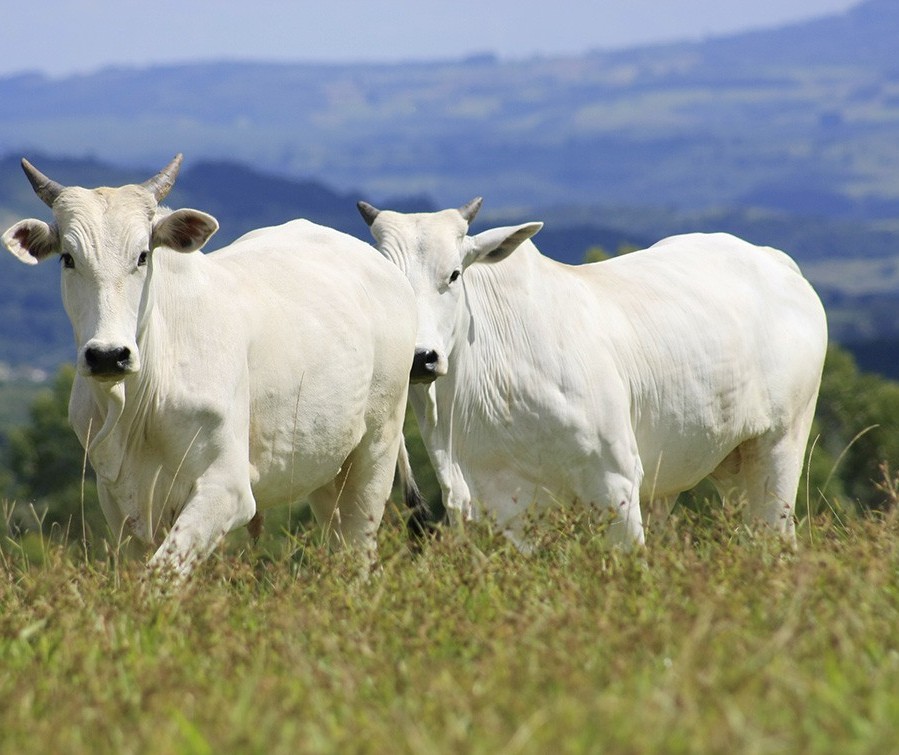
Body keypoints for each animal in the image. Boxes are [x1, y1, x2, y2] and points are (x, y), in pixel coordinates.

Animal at [1, 157, 418, 576]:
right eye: (68, 258)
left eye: (142, 255)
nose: (107, 354)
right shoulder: (120, 504)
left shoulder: (227, 488)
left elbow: (161, 573)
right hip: (324, 470)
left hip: (374, 454)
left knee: (359, 553)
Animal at [358, 198, 828, 548]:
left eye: (454, 274)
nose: (420, 358)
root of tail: (774, 261)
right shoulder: (494, 508)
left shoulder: (616, 482)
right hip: (723, 465)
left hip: (778, 448)